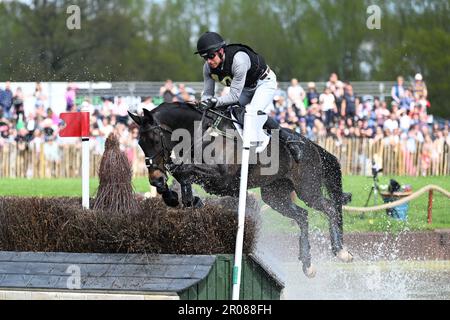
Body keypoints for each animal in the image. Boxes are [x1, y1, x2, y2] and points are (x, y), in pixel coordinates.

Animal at [128, 103, 354, 278]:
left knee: (329, 208)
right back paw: (308, 265)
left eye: (155, 140)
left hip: (308, 190)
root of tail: (312, 145)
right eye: (140, 143)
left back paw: (341, 252)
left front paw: (182, 197)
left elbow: (182, 170)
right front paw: (176, 198)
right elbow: (181, 174)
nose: (155, 179)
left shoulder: (222, 178)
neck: (201, 134)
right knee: (302, 216)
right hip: (275, 195)